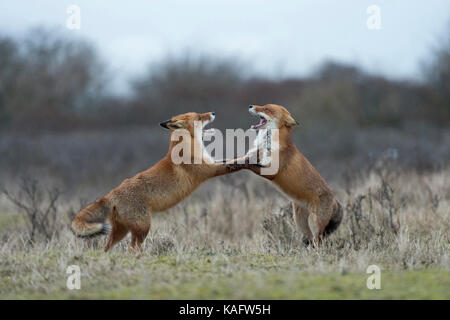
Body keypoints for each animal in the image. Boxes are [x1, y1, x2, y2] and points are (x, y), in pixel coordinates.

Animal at [71, 111, 239, 251]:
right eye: (199, 117)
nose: (213, 112)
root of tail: (111, 194)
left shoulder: (212, 163)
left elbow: (230, 159)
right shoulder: (208, 170)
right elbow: (232, 165)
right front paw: (244, 162)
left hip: (122, 231)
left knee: (108, 247)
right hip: (143, 228)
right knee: (133, 248)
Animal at [227, 104, 342, 246]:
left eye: (267, 109)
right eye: (264, 106)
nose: (250, 105)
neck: (268, 144)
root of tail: (335, 199)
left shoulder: (271, 170)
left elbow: (249, 165)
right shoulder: (257, 155)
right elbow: (240, 160)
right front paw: (229, 163)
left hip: (314, 223)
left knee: (318, 241)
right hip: (300, 222)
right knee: (309, 239)